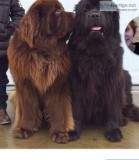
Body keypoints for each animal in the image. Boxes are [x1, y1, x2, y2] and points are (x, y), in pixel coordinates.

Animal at [7, 0, 74, 144]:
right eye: (58, 11)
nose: (75, 14)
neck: (43, 51)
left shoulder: (57, 84)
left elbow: (57, 109)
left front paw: (60, 132)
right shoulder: (25, 84)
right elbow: (28, 109)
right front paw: (25, 128)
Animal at [68, 0, 139, 142]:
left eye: (104, 9)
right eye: (86, 10)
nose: (94, 15)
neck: (95, 54)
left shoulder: (113, 81)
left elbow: (113, 108)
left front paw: (113, 131)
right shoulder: (75, 82)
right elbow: (76, 108)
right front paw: (73, 130)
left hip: (126, 76)